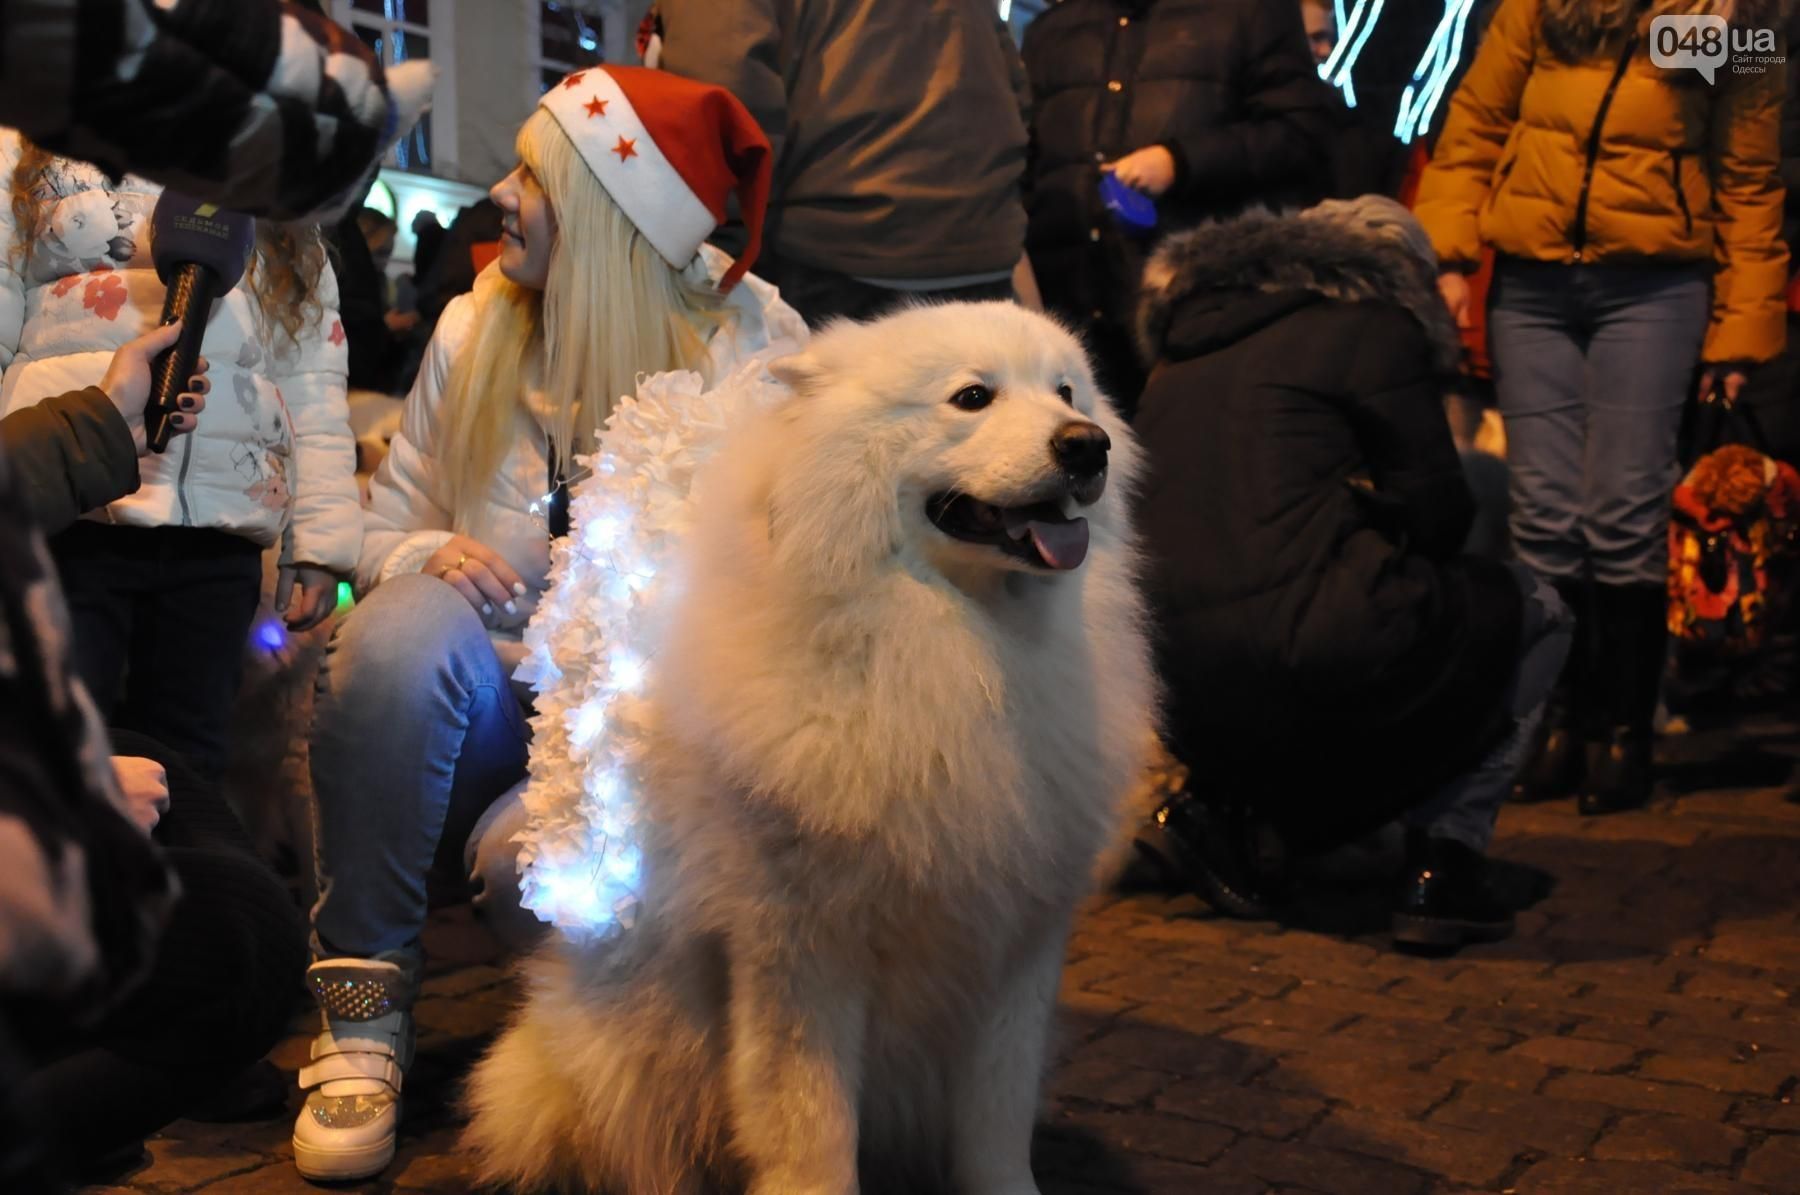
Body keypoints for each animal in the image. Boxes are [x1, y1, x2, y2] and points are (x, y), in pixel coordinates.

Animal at [468, 300, 1152, 1195]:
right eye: (973, 397)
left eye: (1068, 391)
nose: (1085, 445)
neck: (956, 643)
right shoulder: (800, 951)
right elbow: (811, 1122)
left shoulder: (1016, 945)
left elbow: (996, 1124)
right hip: (641, 1049)